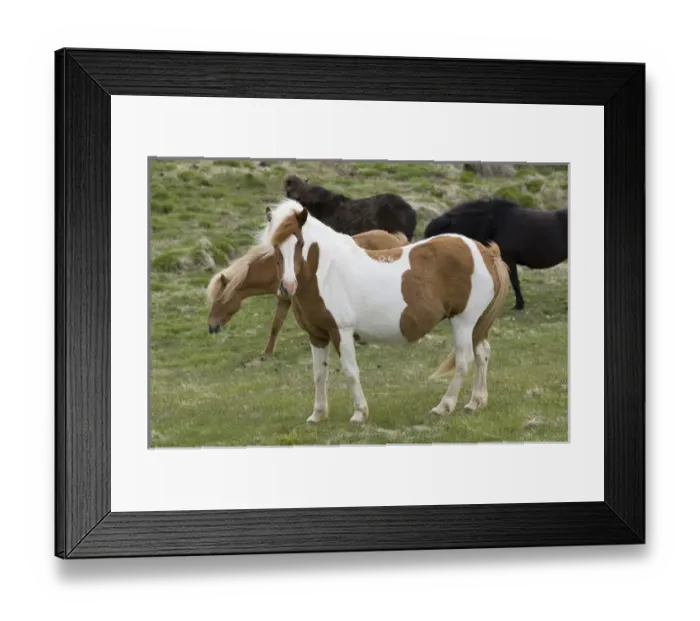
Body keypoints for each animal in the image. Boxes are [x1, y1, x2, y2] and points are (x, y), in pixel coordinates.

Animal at [206, 229, 410, 356]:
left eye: (220, 300)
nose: (211, 327)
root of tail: (395, 240)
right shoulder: (284, 299)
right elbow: (275, 326)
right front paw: (267, 353)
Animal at [260, 198, 510, 424]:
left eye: (300, 243)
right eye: (275, 246)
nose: (287, 286)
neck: (327, 271)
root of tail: (484, 251)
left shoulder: (341, 331)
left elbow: (350, 371)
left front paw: (360, 413)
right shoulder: (317, 335)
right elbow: (319, 374)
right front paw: (318, 414)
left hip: (463, 321)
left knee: (464, 361)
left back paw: (444, 406)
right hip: (476, 325)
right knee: (482, 354)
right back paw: (475, 402)